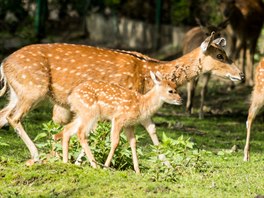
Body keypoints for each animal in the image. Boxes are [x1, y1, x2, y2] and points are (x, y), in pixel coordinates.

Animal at [52, 71, 183, 173]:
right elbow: (115, 142)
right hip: (90, 112)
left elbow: (133, 142)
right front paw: (106, 166)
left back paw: (66, 162)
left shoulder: (129, 124)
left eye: (176, 87)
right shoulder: (119, 118)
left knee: (67, 129)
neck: (141, 105)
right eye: (171, 91)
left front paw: (137, 170)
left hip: (82, 113)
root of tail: (71, 96)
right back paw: (94, 165)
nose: (180, 100)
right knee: (81, 133)